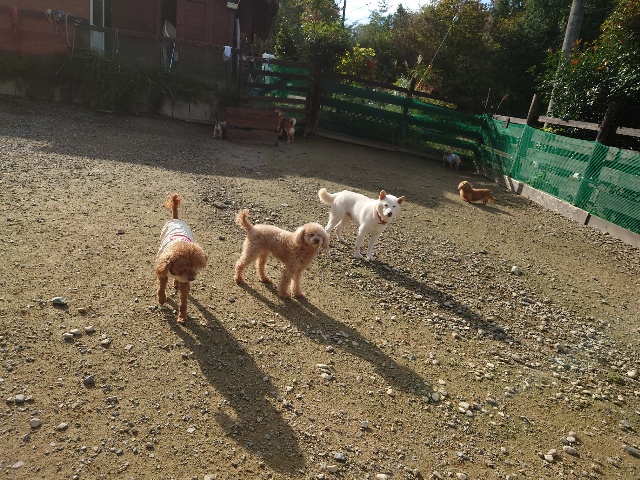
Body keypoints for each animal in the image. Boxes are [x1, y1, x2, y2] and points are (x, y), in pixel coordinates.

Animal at [154, 193, 208, 324]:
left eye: (195, 266)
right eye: (182, 267)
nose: (192, 278)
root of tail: (176, 219)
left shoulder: (185, 284)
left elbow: (183, 301)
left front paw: (182, 317)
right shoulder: (163, 272)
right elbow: (161, 288)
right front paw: (162, 299)